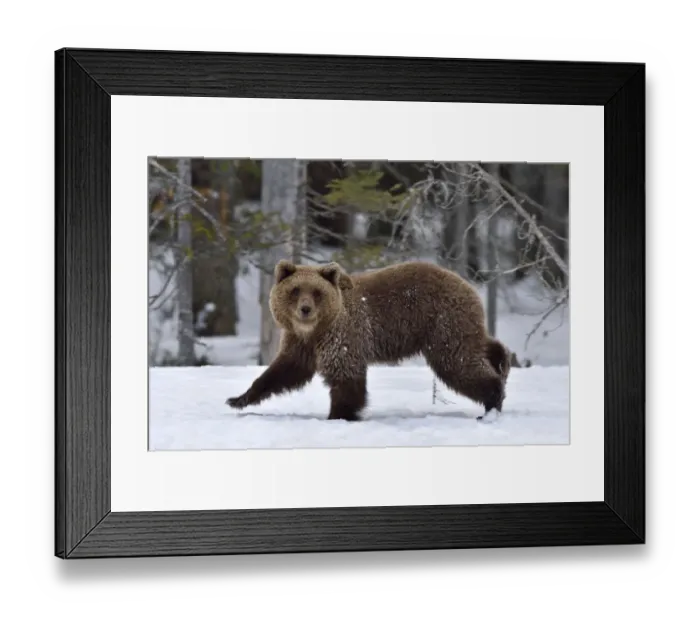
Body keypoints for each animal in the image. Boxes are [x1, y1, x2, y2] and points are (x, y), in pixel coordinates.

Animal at [225, 260, 511, 422]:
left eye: (316, 292)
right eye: (295, 290)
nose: (305, 309)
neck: (316, 329)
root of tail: (468, 285)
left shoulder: (342, 335)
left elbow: (346, 378)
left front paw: (338, 415)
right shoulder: (301, 343)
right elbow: (283, 371)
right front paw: (237, 399)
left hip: (442, 322)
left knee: (458, 362)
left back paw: (491, 402)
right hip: (453, 324)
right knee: (478, 346)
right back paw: (502, 361)